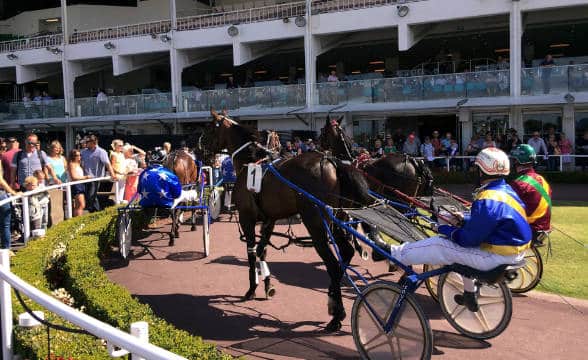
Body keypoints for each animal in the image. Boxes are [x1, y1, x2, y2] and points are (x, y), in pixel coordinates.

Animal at [200, 109, 374, 332]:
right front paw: (267, 284)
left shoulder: (247, 218)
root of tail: (330, 162)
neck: (249, 164)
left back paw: (336, 316)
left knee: (333, 265)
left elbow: (251, 252)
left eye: (209, 127)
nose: (199, 147)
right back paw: (334, 303)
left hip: (316, 224)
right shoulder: (269, 220)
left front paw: (252, 288)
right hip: (336, 221)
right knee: (346, 252)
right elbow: (261, 251)